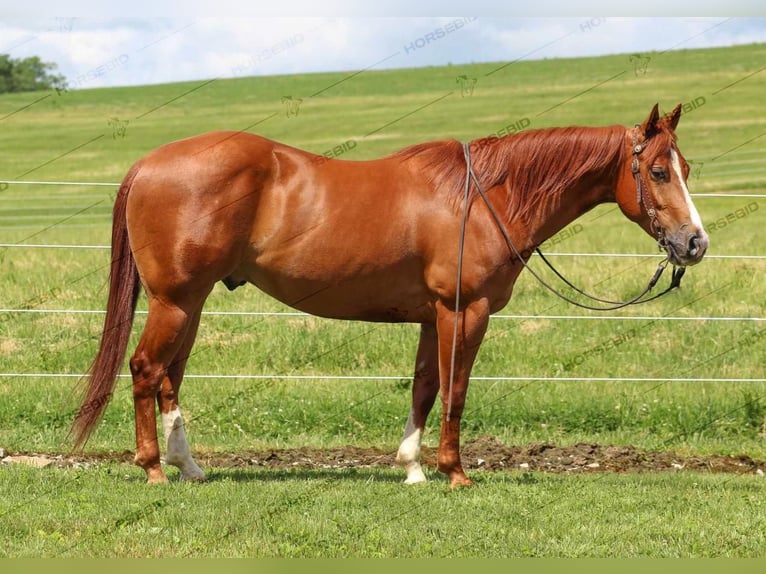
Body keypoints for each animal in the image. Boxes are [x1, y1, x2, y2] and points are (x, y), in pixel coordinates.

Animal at [70, 102, 708, 486]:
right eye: (657, 171)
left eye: (687, 167)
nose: (694, 243)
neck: (484, 197)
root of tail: (149, 164)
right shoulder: (464, 312)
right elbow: (455, 390)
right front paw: (454, 472)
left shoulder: (432, 316)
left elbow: (425, 387)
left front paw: (413, 468)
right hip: (176, 301)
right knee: (146, 369)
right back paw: (154, 468)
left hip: (191, 303)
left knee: (170, 377)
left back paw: (190, 466)